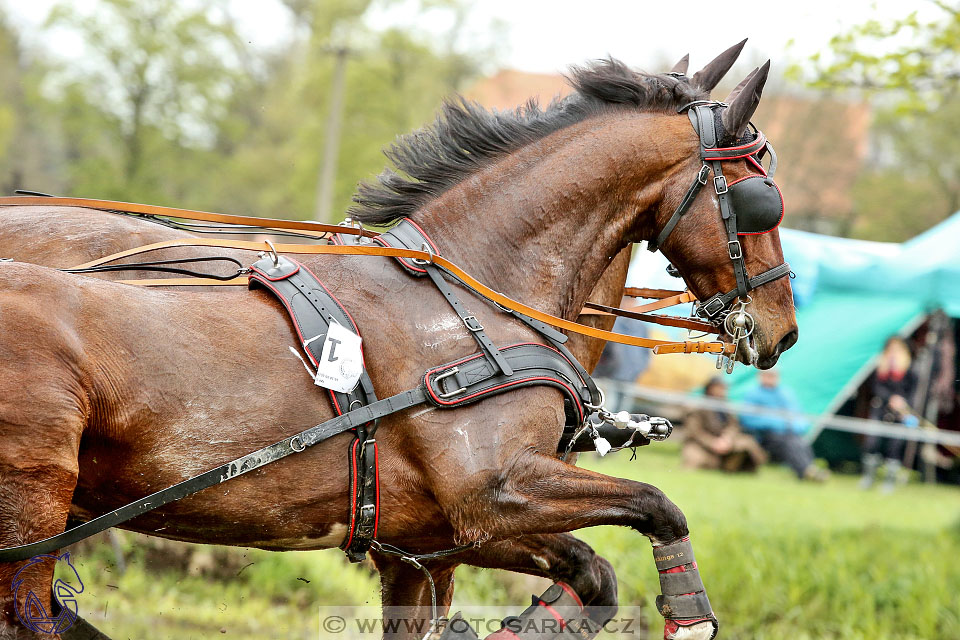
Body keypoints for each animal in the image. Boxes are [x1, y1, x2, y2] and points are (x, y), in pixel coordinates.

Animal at [0, 57, 796, 636]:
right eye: (761, 196)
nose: (783, 329)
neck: (474, 290)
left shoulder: (428, 541)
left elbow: (587, 573)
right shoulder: (495, 493)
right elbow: (654, 510)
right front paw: (690, 617)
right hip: (32, 507)